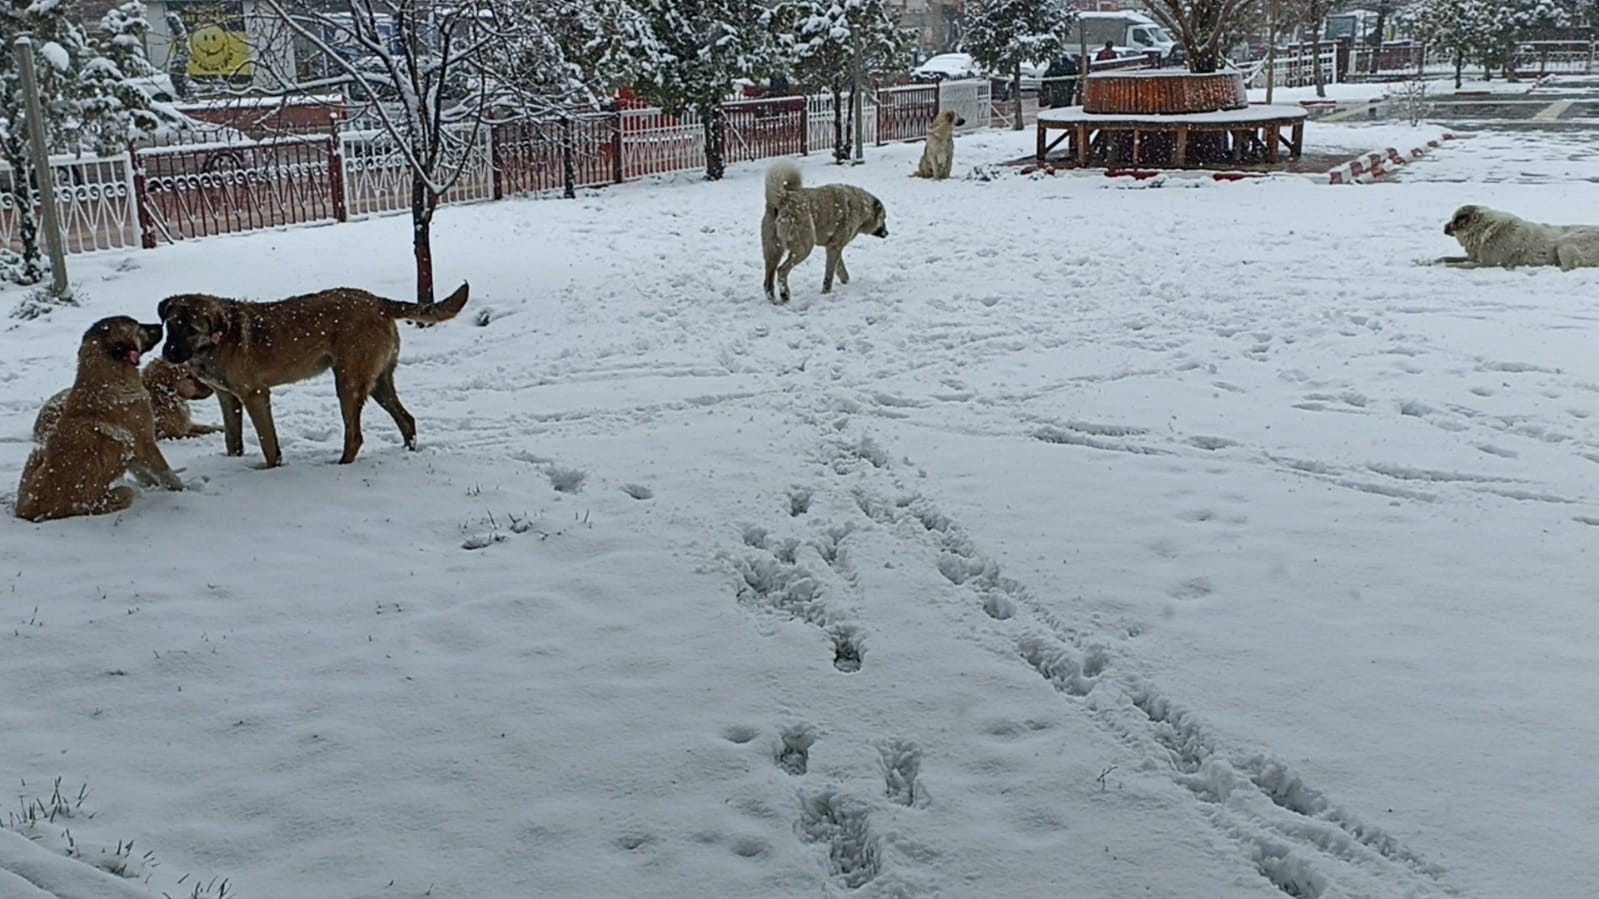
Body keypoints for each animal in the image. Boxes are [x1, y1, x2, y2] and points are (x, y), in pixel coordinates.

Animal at [17, 316, 185, 521]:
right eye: (139, 328)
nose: (161, 324)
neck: (108, 378)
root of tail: (27, 509)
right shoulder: (144, 441)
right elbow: (165, 471)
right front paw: (182, 488)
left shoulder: (132, 451)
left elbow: (144, 474)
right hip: (119, 494)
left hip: (38, 454)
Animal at [36, 356, 222, 441]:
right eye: (188, 377)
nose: (212, 389)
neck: (162, 397)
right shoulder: (168, 433)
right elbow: (192, 434)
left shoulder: (184, 425)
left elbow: (206, 427)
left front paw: (220, 428)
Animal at [156, 281, 466, 463]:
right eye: (170, 325)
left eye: (192, 330)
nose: (168, 354)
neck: (219, 339)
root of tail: (378, 301)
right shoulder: (228, 398)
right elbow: (232, 440)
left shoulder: (255, 395)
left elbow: (269, 444)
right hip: (378, 382)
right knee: (407, 420)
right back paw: (407, 454)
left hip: (348, 384)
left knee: (355, 435)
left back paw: (342, 465)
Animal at [757, 159, 889, 302]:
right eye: (884, 218)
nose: (887, 233)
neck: (860, 207)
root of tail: (783, 197)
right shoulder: (834, 247)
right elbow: (829, 275)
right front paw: (826, 293)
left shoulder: (835, 248)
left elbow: (842, 271)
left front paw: (845, 283)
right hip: (804, 248)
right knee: (781, 270)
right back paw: (785, 294)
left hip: (773, 251)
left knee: (767, 281)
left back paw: (773, 300)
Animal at [1445, 203, 1599, 268]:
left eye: (1453, 221)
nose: (1444, 227)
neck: (1484, 230)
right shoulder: (1476, 257)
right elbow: (1449, 259)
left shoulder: (1487, 263)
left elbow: (1457, 265)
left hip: (1564, 242)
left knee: (1570, 266)